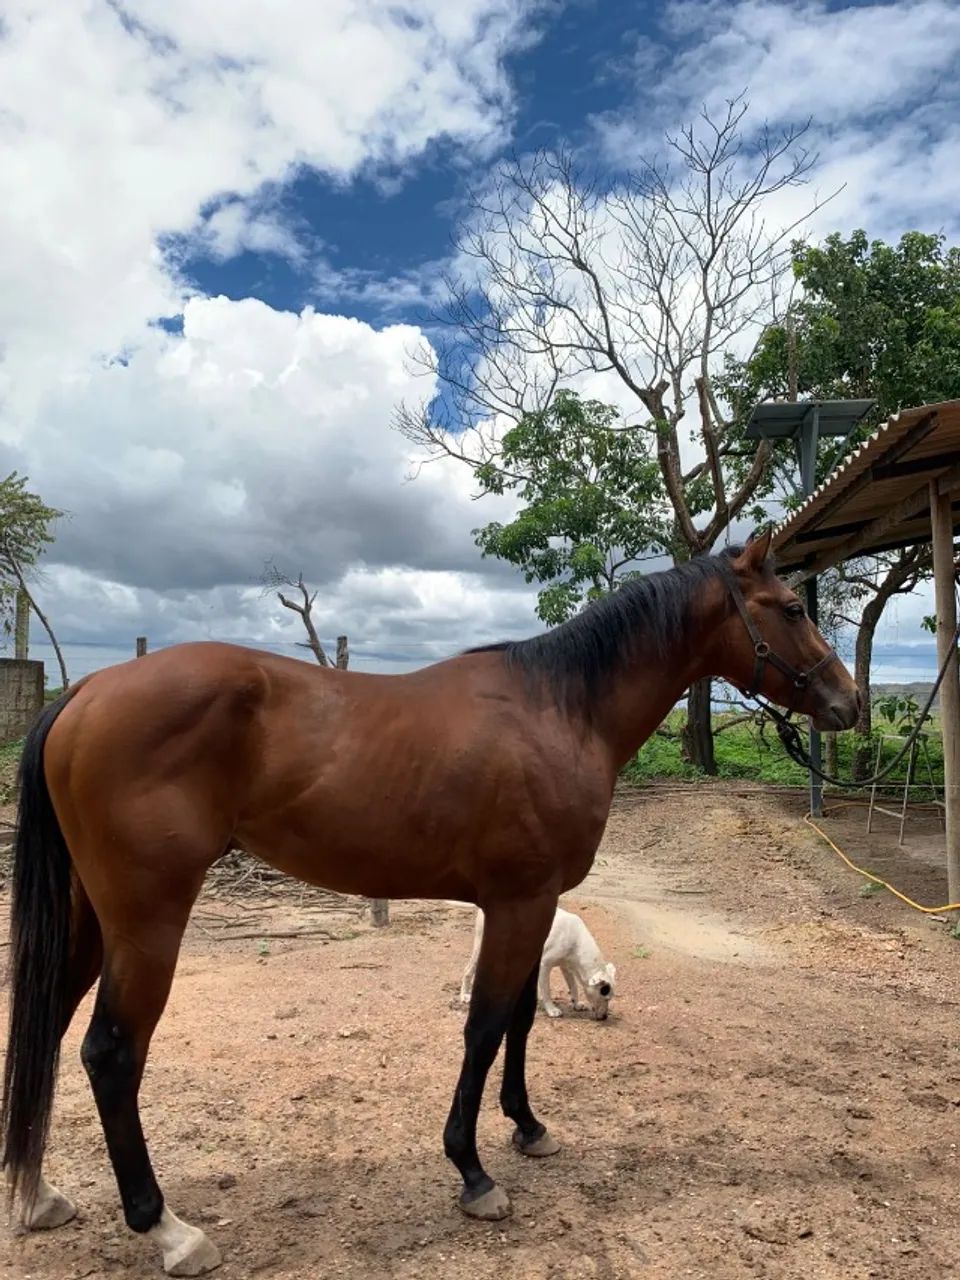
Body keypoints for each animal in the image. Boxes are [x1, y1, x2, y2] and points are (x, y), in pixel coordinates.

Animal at [1, 532, 858, 1275]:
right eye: (791, 607)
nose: (848, 702)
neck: (561, 709)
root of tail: (86, 692)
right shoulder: (518, 901)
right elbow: (484, 1027)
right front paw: (473, 1173)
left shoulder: (533, 906)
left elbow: (520, 1019)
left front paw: (527, 1127)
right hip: (148, 921)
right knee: (110, 1053)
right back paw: (169, 1231)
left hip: (92, 919)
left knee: (46, 1027)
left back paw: (38, 1196)